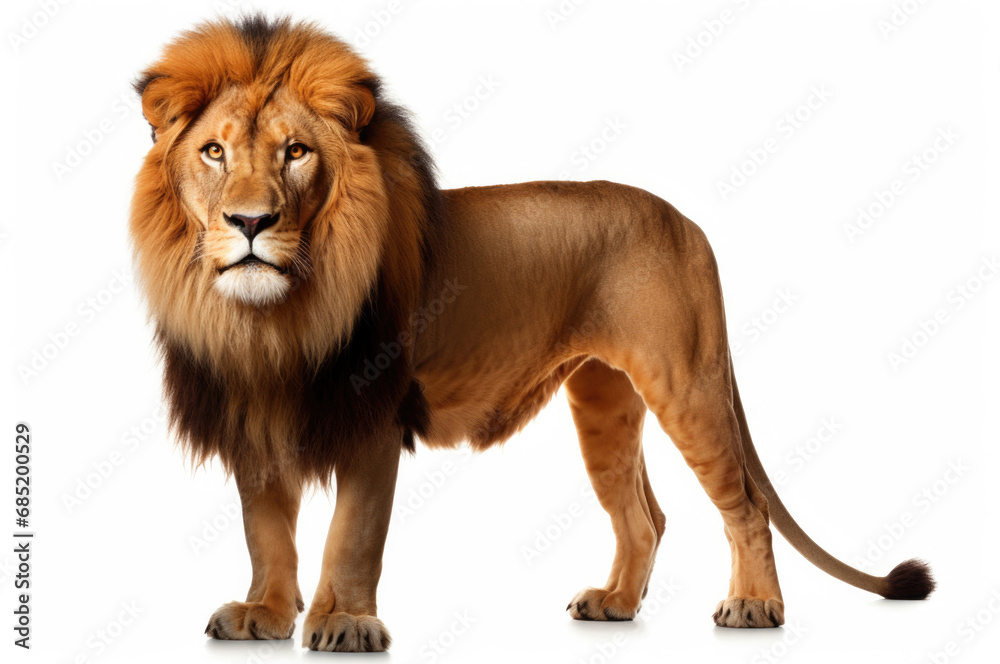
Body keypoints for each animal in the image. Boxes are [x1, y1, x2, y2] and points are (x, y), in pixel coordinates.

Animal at [130, 15, 934, 653]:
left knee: (745, 504)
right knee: (644, 516)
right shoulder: (252, 410)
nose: (250, 222)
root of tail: (685, 220)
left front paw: (345, 623)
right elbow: (265, 530)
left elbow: (351, 535)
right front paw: (264, 613)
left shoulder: (373, 415)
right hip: (604, 401)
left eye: (296, 152)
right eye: (214, 152)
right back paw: (615, 604)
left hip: (686, 381)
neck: (270, 321)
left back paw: (756, 606)